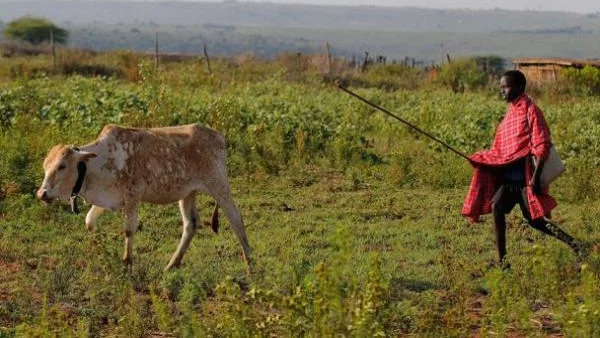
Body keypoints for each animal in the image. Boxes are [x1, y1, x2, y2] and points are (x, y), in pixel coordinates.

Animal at [35, 124, 251, 272]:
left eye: (62, 166)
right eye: (45, 166)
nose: (42, 193)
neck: (101, 162)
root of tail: (218, 135)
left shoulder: (133, 197)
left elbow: (129, 230)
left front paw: (127, 262)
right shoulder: (109, 199)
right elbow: (89, 222)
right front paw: (102, 248)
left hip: (219, 186)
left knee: (236, 218)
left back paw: (249, 262)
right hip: (187, 193)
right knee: (191, 224)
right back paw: (172, 264)